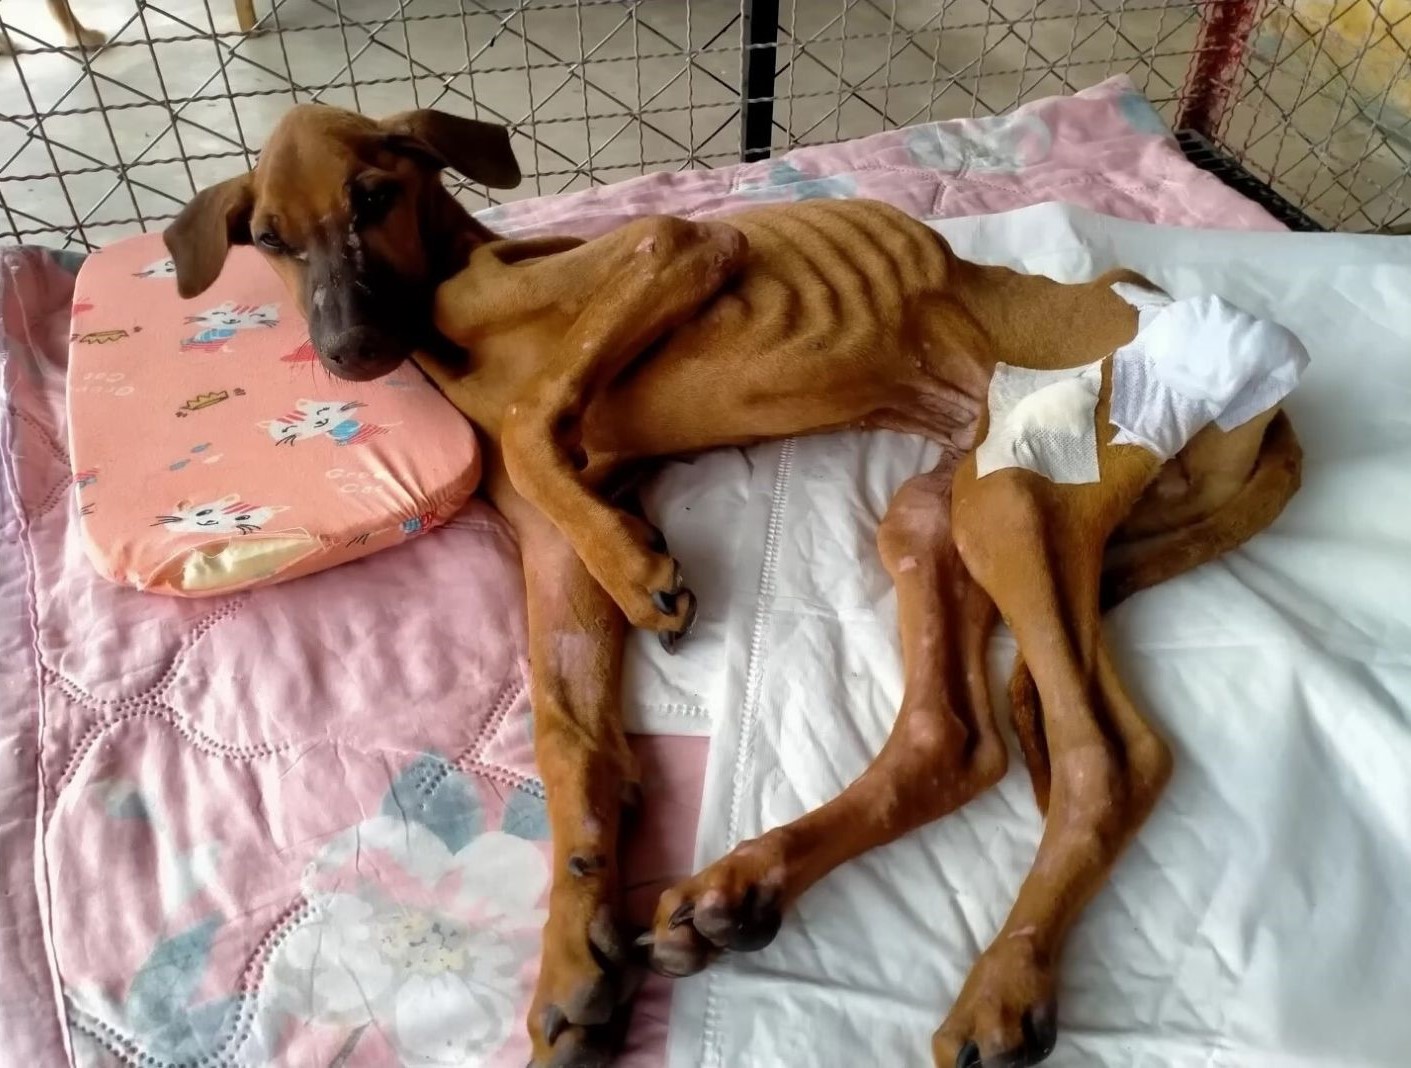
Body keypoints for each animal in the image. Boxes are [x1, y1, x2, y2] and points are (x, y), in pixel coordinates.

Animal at [162, 102, 1298, 1066]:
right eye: (270, 238)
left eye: (373, 195)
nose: (349, 351)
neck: (451, 322)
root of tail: (1270, 406)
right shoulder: (552, 558)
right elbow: (569, 737)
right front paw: (574, 947)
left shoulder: (676, 248)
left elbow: (536, 418)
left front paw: (643, 571)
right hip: (940, 510)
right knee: (955, 738)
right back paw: (743, 888)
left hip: (1020, 495)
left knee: (1110, 755)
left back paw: (1004, 985)